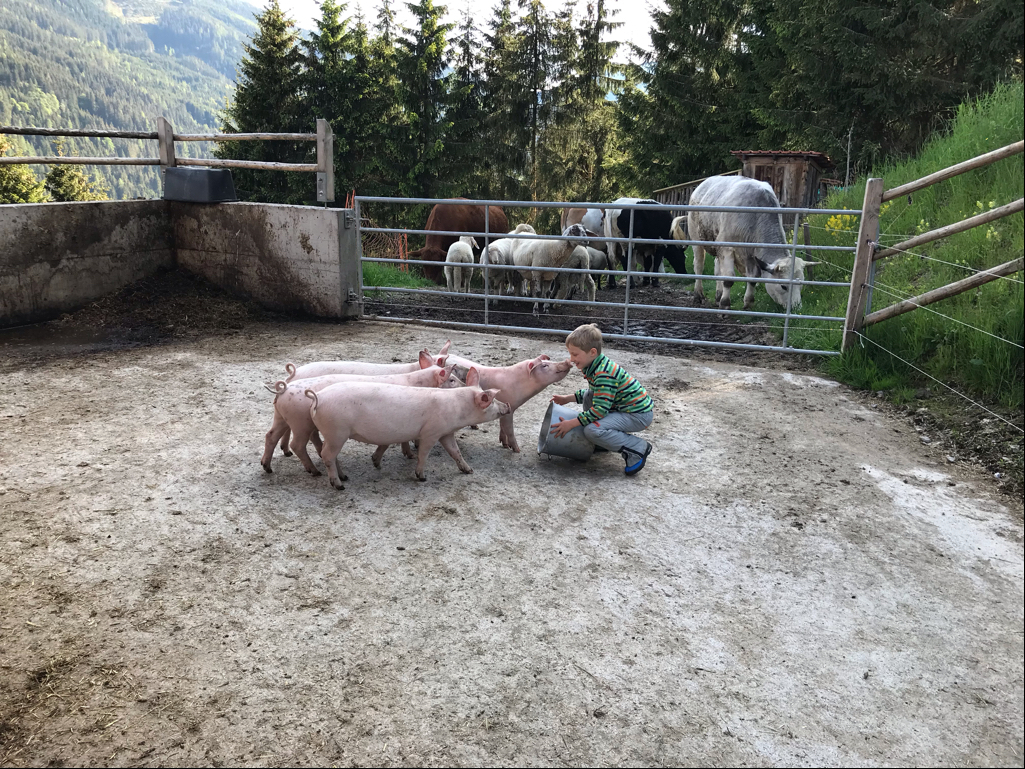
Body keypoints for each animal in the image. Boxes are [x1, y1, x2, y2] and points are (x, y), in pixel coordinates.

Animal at [260, 362, 461, 475]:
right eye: (452, 380)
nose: (466, 386)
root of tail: (285, 389)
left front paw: (408, 454)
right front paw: (408, 455)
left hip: (282, 417)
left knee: (271, 435)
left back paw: (268, 467)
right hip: (300, 423)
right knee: (298, 445)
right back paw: (315, 472)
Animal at [303, 367, 512, 488]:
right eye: (491, 402)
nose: (507, 406)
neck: (457, 407)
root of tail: (317, 398)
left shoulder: (446, 433)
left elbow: (456, 452)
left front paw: (469, 471)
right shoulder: (431, 432)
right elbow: (423, 454)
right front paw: (422, 477)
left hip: (333, 435)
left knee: (329, 454)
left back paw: (345, 476)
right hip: (336, 432)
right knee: (327, 455)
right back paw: (339, 485)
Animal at [684, 176, 820, 311]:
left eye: (801, 284)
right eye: (783, 286)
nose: (797, 308)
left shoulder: (750, 254)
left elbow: (752, 278)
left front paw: (748, 302)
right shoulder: (726, 247)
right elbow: (728, 279)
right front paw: (725, 304)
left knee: (717, 270)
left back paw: (718, 296)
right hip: (696, 238)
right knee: (699, 266)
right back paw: (698, 295)